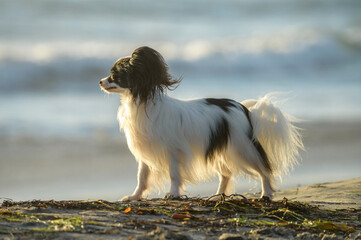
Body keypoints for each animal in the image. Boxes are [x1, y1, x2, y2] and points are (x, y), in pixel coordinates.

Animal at [97, 45, 300, 201]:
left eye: (114, 74)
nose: (99, 81)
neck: (140, 102)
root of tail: (242, 108)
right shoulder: (145, 152)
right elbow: (142, 177)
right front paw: (134, 197)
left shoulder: (173, 151)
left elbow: (173, 174)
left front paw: (172, 194)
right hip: (222, 150)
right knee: (226, 174)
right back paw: (218, 196)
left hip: (243, 149)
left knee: (264, 169)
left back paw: (266, 194)